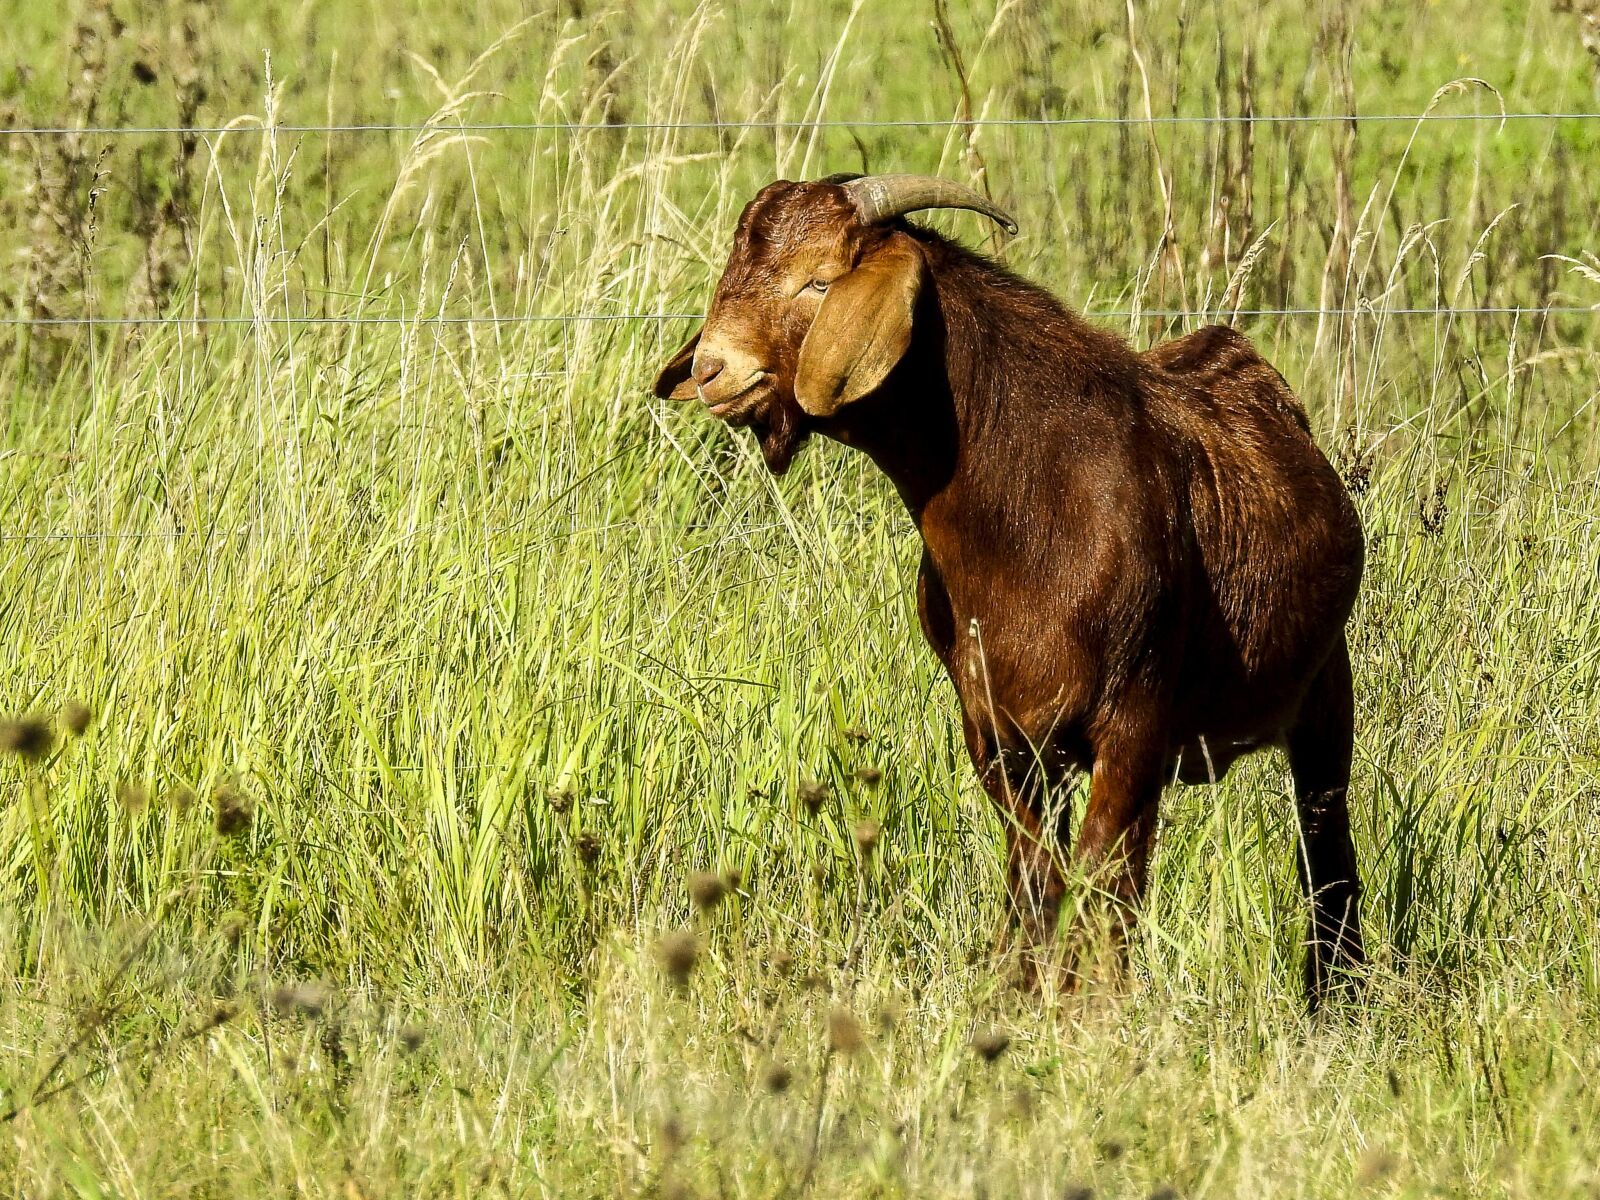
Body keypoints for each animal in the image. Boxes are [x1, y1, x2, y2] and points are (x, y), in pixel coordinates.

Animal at [653, 174, 1367, 1006]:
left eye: (821, 281)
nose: (712, 370)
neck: (1025, 516)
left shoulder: (1136, 721)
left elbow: (1102, 884)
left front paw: (1090, 1012)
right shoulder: (998, 731)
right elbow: (1035, 877)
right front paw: (1019, 998)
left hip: (1325, 691)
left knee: (1325, 845)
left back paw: (1334, 993)